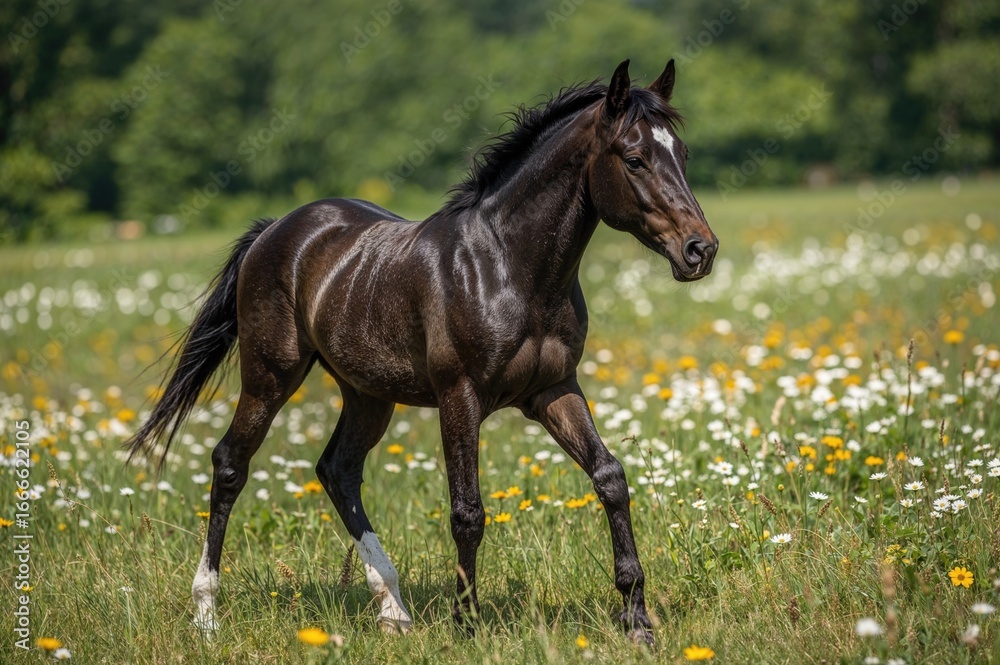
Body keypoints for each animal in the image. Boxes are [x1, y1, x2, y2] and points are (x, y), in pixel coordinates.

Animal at [126, 58, 717, 645]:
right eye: (635, 159)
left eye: (683, 155)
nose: (700, 250)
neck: (507, 267)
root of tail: (274, 230)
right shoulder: (460, 397)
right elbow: (467, 512)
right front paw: (466, 623)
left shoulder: (554, 390)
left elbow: (610, 477)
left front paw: (637, 620)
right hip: (271, 375)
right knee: (231, 464)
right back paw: (207, 613)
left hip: (367, 394)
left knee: (338, 470)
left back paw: (393, 610)